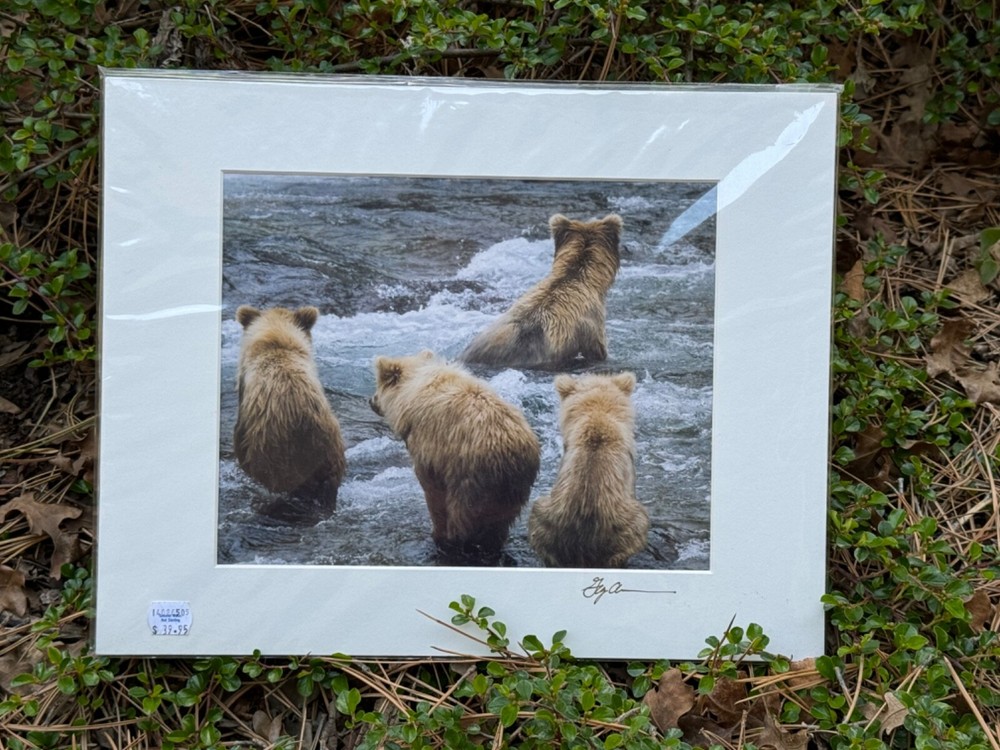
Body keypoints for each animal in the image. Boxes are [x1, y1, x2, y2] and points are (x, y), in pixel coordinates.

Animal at [369, 350, 541, 563]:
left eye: (377, 385)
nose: (371, 400)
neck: (412, 392)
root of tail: (510, 451)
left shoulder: (431, 449)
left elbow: (433, 491)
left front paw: (437, 530)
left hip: (470, 478)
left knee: (462, 518)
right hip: (512, 489)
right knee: (498, 524)